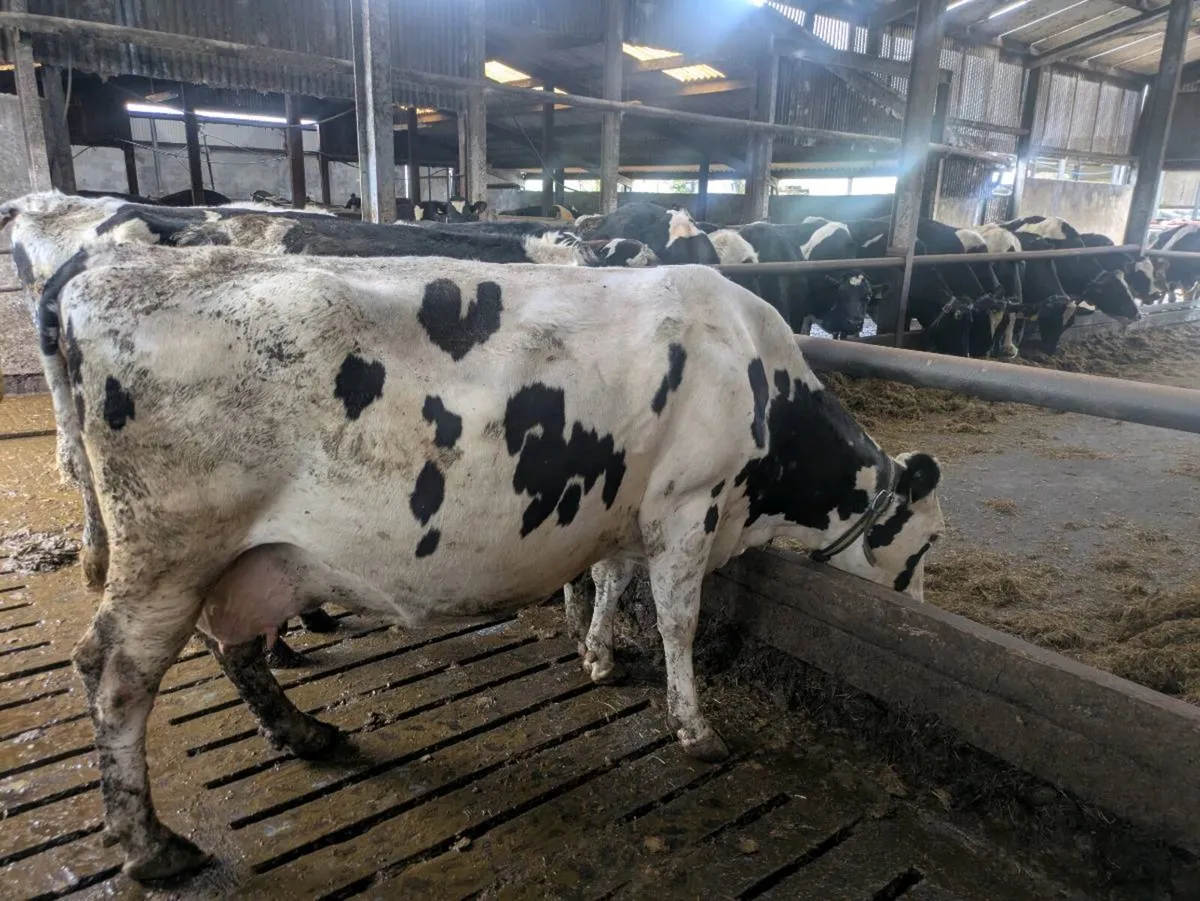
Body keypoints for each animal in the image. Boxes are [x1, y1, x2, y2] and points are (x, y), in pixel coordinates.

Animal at [42, 243, 944, 882]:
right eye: (928, 543)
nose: (923, 611)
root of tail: (108, 267)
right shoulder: (689, 506)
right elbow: (680, 622)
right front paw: (694, 726)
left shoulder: (630, 510)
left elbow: (612, 581)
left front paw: (597, 654)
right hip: (170, 547)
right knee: (115, 673)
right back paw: (151, 844)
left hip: (235, 558)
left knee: (232, 643)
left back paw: (303, 732)